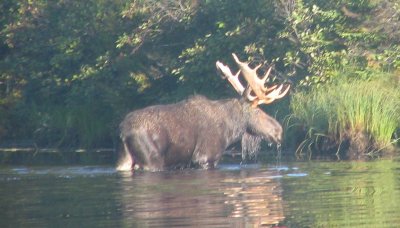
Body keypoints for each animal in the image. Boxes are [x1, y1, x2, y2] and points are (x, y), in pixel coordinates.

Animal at [117, 53, 290, 171]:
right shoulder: (205, 157)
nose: (279, 131)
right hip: (151, 159)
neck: (230, 130)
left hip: (125, 159)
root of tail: (124, 132)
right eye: (257, 111)